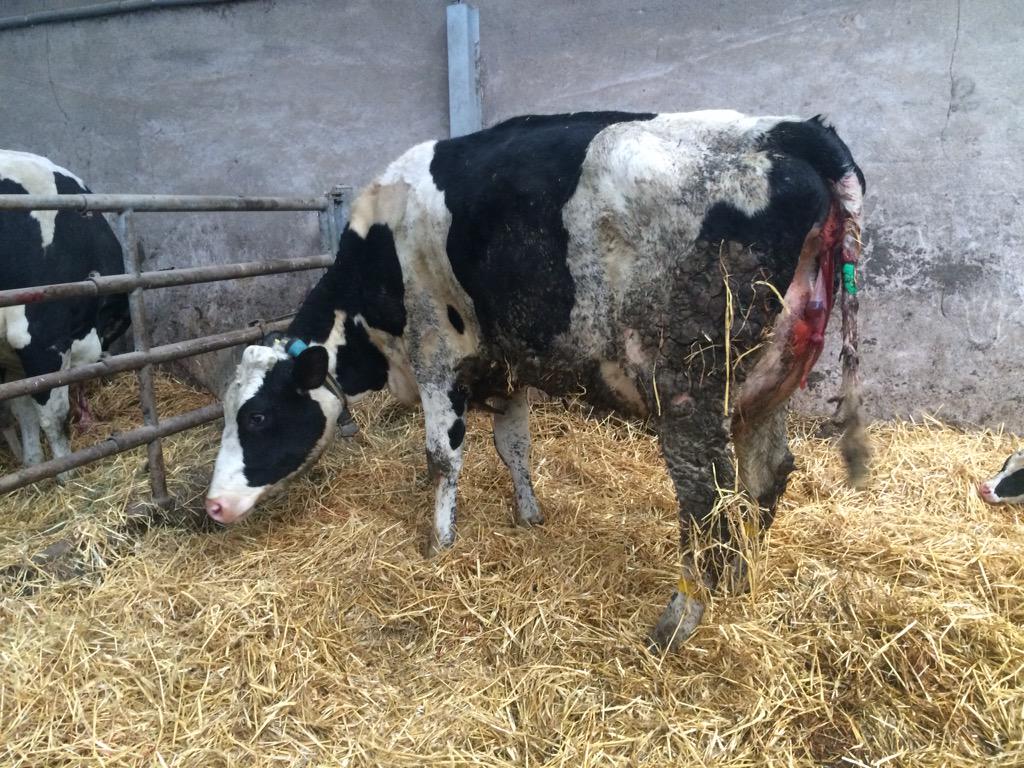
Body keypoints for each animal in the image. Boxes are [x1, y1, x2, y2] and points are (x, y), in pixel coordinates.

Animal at [0, 149, 130, 470]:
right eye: (113, 326)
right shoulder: (41, 337)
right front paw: (65, 471)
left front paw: (34, 465)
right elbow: (53, 416)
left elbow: (23, 408)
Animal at [205, 110, 869, 649]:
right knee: (767, 475)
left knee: (706, 501)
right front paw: (529, 516)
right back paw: (739, 584)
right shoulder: (510, 361)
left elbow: (441, 458)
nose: (212, 506)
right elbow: (514, 446)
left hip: (687, 386)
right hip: (774, 379)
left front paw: (439, 544)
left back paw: (679, 620)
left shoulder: (435, 352)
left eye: (258, 416)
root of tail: (791, 130)